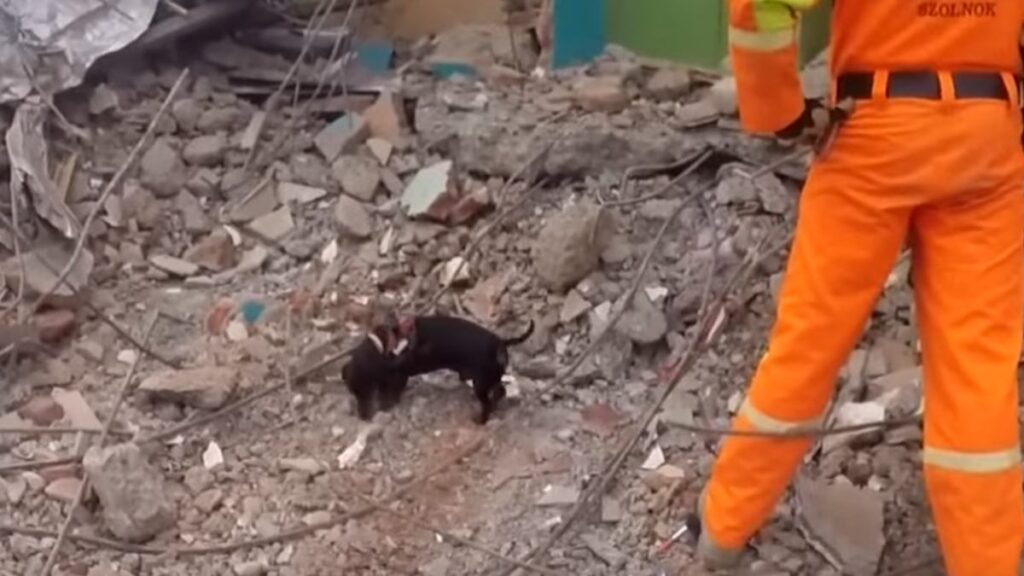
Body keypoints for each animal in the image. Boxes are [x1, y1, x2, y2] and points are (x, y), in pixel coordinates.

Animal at [344, 313, 536, 422]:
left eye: (363, 390)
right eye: (353, 391)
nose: (362, 416)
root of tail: (501, 343)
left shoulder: (397, 374)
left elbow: (391, 391)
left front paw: (387, 404)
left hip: (481, 383)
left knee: (488, 402)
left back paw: (481, 419)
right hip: (489, 378)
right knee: (500, 391)